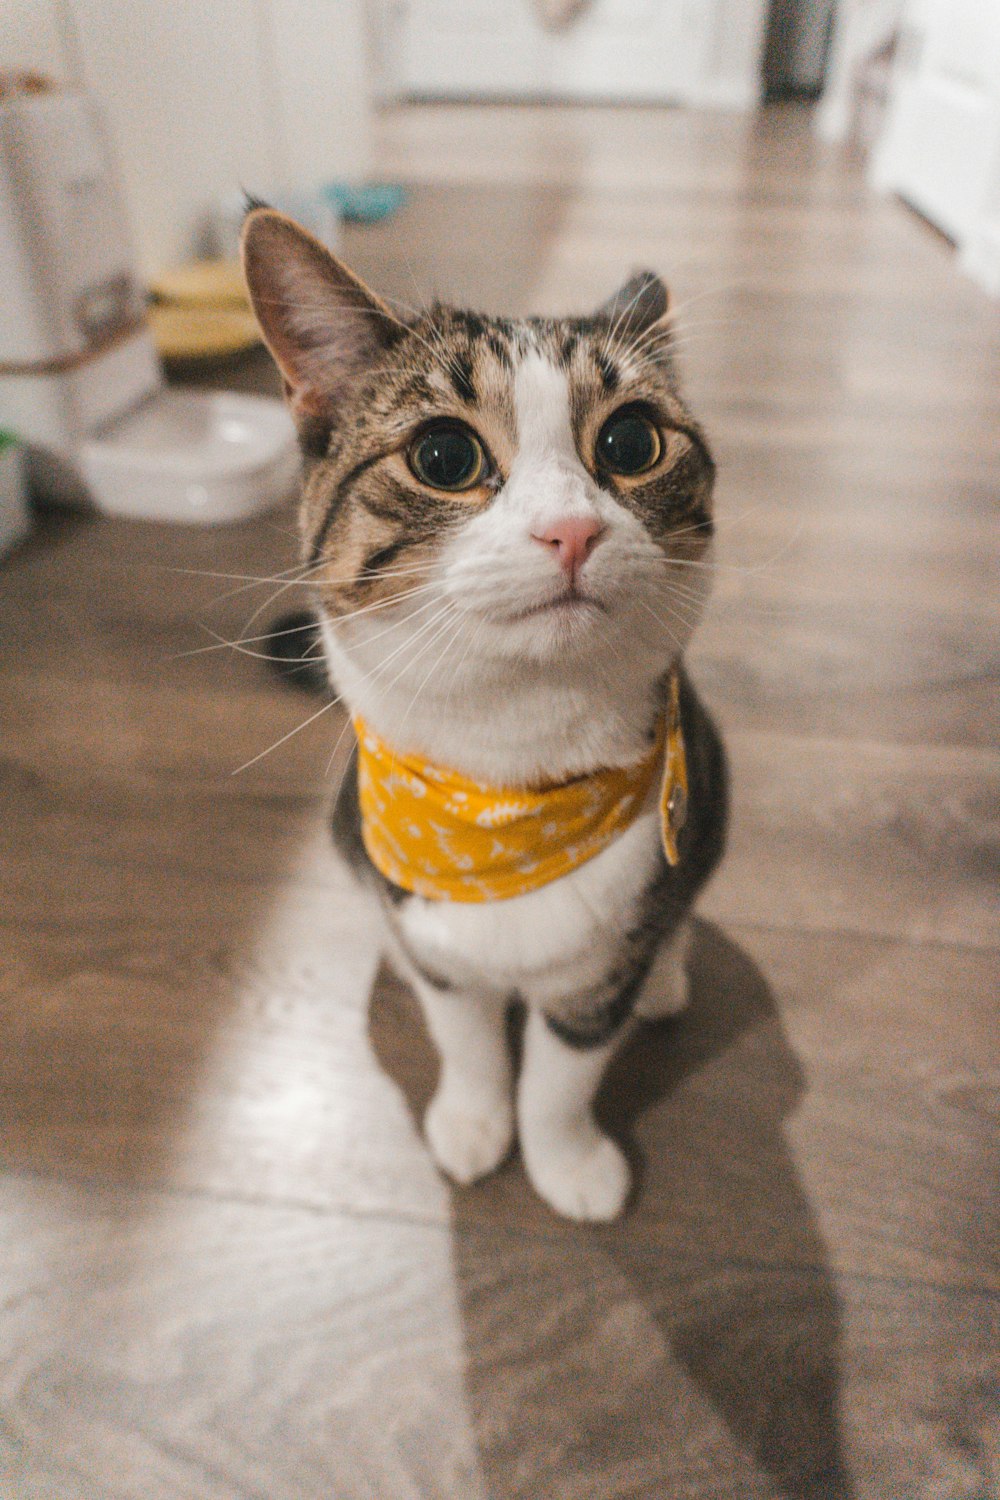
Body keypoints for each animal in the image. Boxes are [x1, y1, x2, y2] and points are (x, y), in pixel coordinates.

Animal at [242, 208, 728, 1218]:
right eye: (442, 456)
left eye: (632, 443)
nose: (571, 529)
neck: (509, 783)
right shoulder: (434, 937)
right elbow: (463, 1038)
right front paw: (472, 1122)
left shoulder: (597, 974)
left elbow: (562, 1075)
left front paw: (566, 1162)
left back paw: (668, 976)